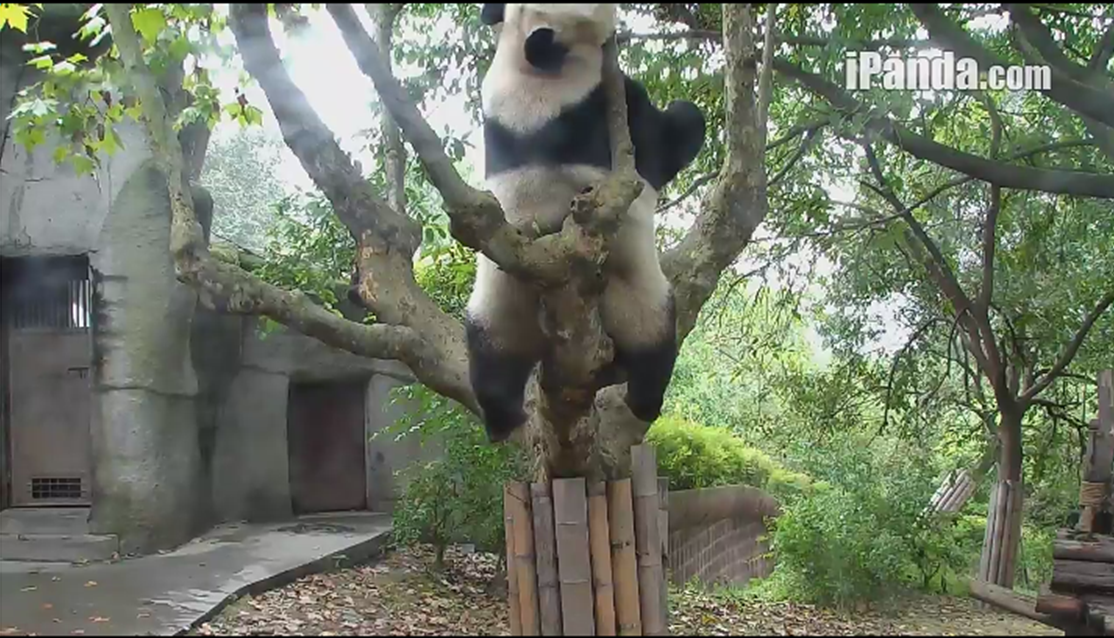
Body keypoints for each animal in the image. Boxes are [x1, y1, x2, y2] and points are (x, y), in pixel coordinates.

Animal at [465, 2, 707, 443]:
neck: (523, 62)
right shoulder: (591, 106)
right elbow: (665, 142)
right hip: (630, 293)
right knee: (653, 340)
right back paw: (644, 398)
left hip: (497, 305)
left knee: (491, 360)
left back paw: (502, 419)